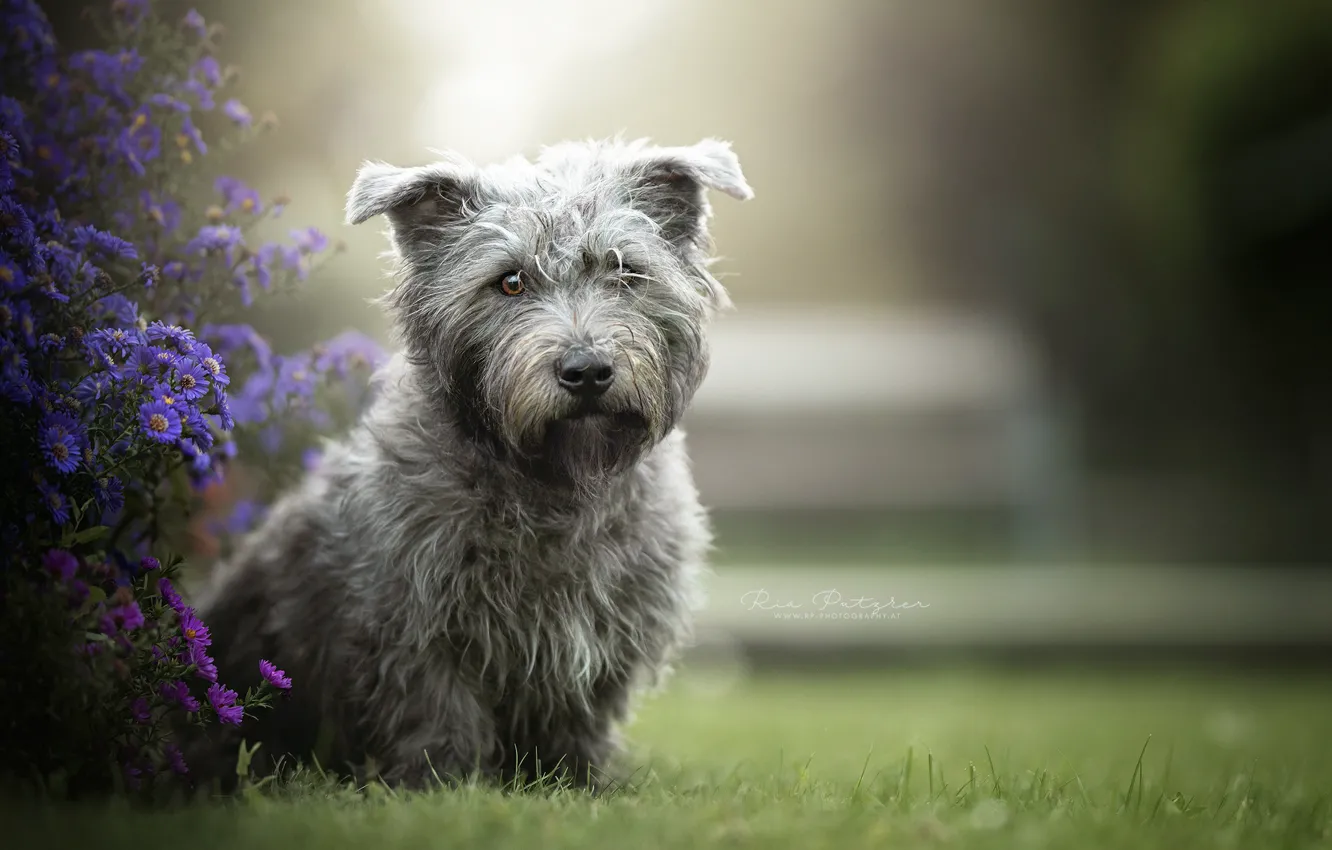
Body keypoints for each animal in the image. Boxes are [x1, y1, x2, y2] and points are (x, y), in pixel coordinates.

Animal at [186, 134, 751, 794]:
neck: (552, 483)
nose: (586, 371)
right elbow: (438, 710)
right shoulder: (417, 623)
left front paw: (579, 782)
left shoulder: (605, 631)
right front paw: (443, 786)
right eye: (508, 283)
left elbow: (581, 716)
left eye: (624, 271)